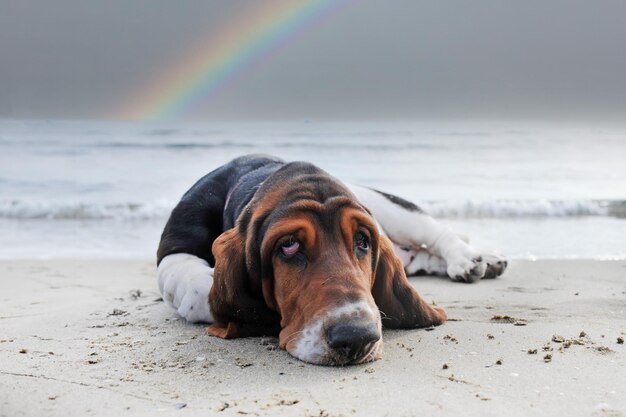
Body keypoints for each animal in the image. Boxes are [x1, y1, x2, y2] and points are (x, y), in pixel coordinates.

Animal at [155, 154, 502, 364]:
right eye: (289, 246)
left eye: (362, 241)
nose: (357, 337)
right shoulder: (172, 250)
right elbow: (200, 289)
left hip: (391, 208)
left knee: (439, 234)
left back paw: (471, 260)